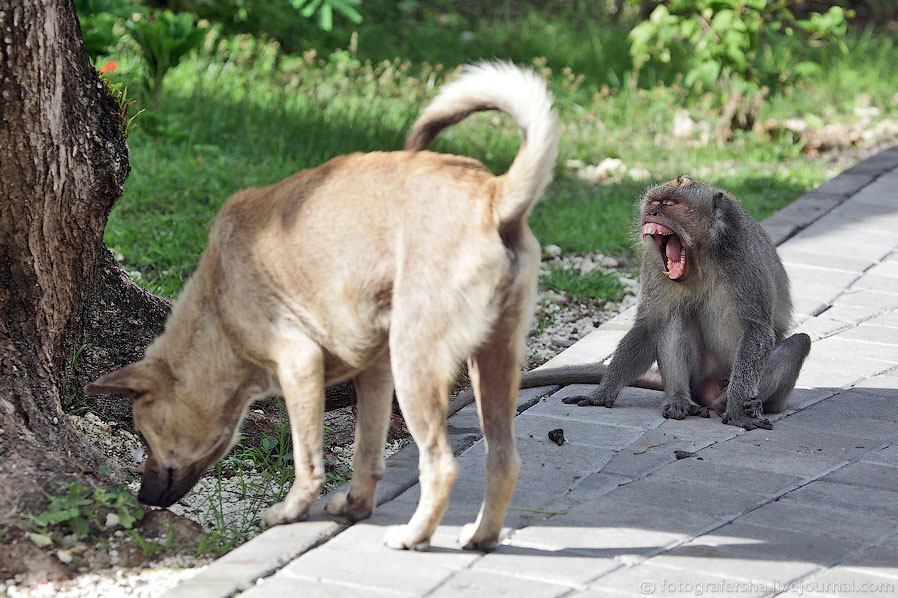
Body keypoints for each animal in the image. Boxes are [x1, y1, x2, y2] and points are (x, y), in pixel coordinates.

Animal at [87, 63, 556, 556]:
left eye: (143, 434)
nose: (142, 497)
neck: (216, 306)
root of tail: (495, 196)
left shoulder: (301, 366)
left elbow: (307, 462)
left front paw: (290, 511)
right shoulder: (374, 375)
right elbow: (367, 453)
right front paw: (355, 505)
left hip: (416, 368)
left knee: (442, 465)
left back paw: (413, 535)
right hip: (492, 365)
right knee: (503, 460)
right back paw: (481, 536)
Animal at [516, 175, 808, 432]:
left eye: (670, 204)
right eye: (652, 203)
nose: (652, 213)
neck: (702, 255)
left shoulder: (742, 256)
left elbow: (756, 331)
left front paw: (737, 410)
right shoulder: (654, 264)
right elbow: (649, 325)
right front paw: (602, 393)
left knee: (799, 342)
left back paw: (734, 402)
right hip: (697, 378)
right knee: (674, 316)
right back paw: (678, 400)